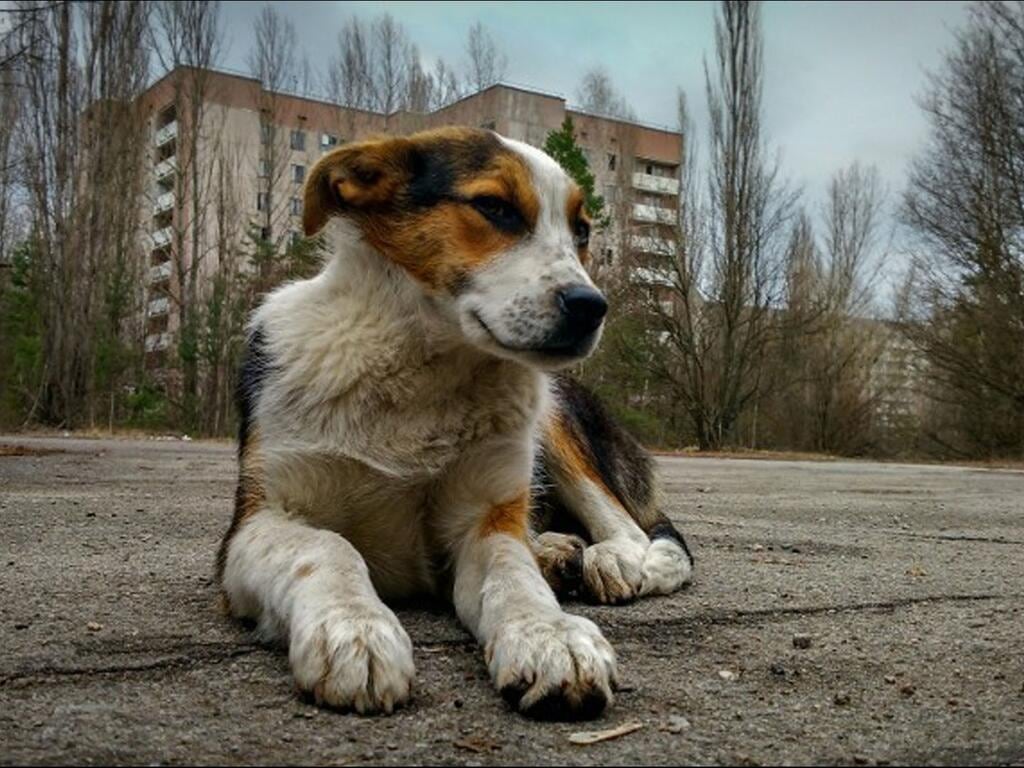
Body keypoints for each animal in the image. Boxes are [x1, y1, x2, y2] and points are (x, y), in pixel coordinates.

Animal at [216, 126, 696, 720]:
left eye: (581, 231)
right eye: (495, 207)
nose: (591, 307)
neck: (422, 370)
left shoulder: (484, 522)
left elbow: (514, 577)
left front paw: (551, 634)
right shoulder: (255, 523)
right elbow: (326, 547)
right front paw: (355, 628)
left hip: (553, 415)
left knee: (635, 530)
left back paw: (610, 561)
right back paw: (557, 552)